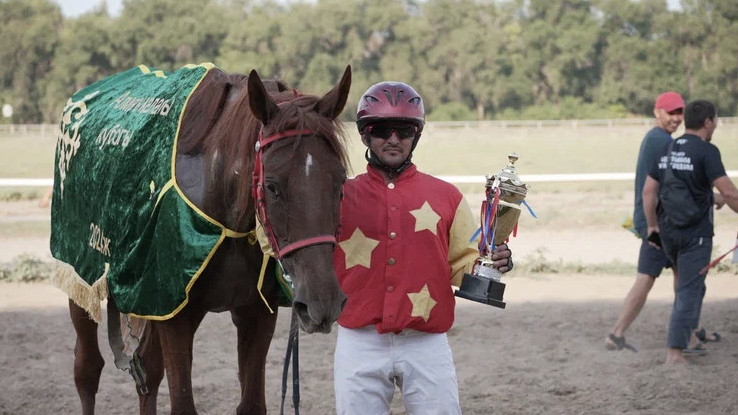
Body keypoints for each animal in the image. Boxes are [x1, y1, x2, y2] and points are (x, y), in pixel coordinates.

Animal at [56, 63, 350, 414]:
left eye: (340, 180)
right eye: (272, 186)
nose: (323, 303)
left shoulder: (256, 311)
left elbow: (251, 403)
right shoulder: (173, 311)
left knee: (148, 370)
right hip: (82, 270)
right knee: (87, 368)